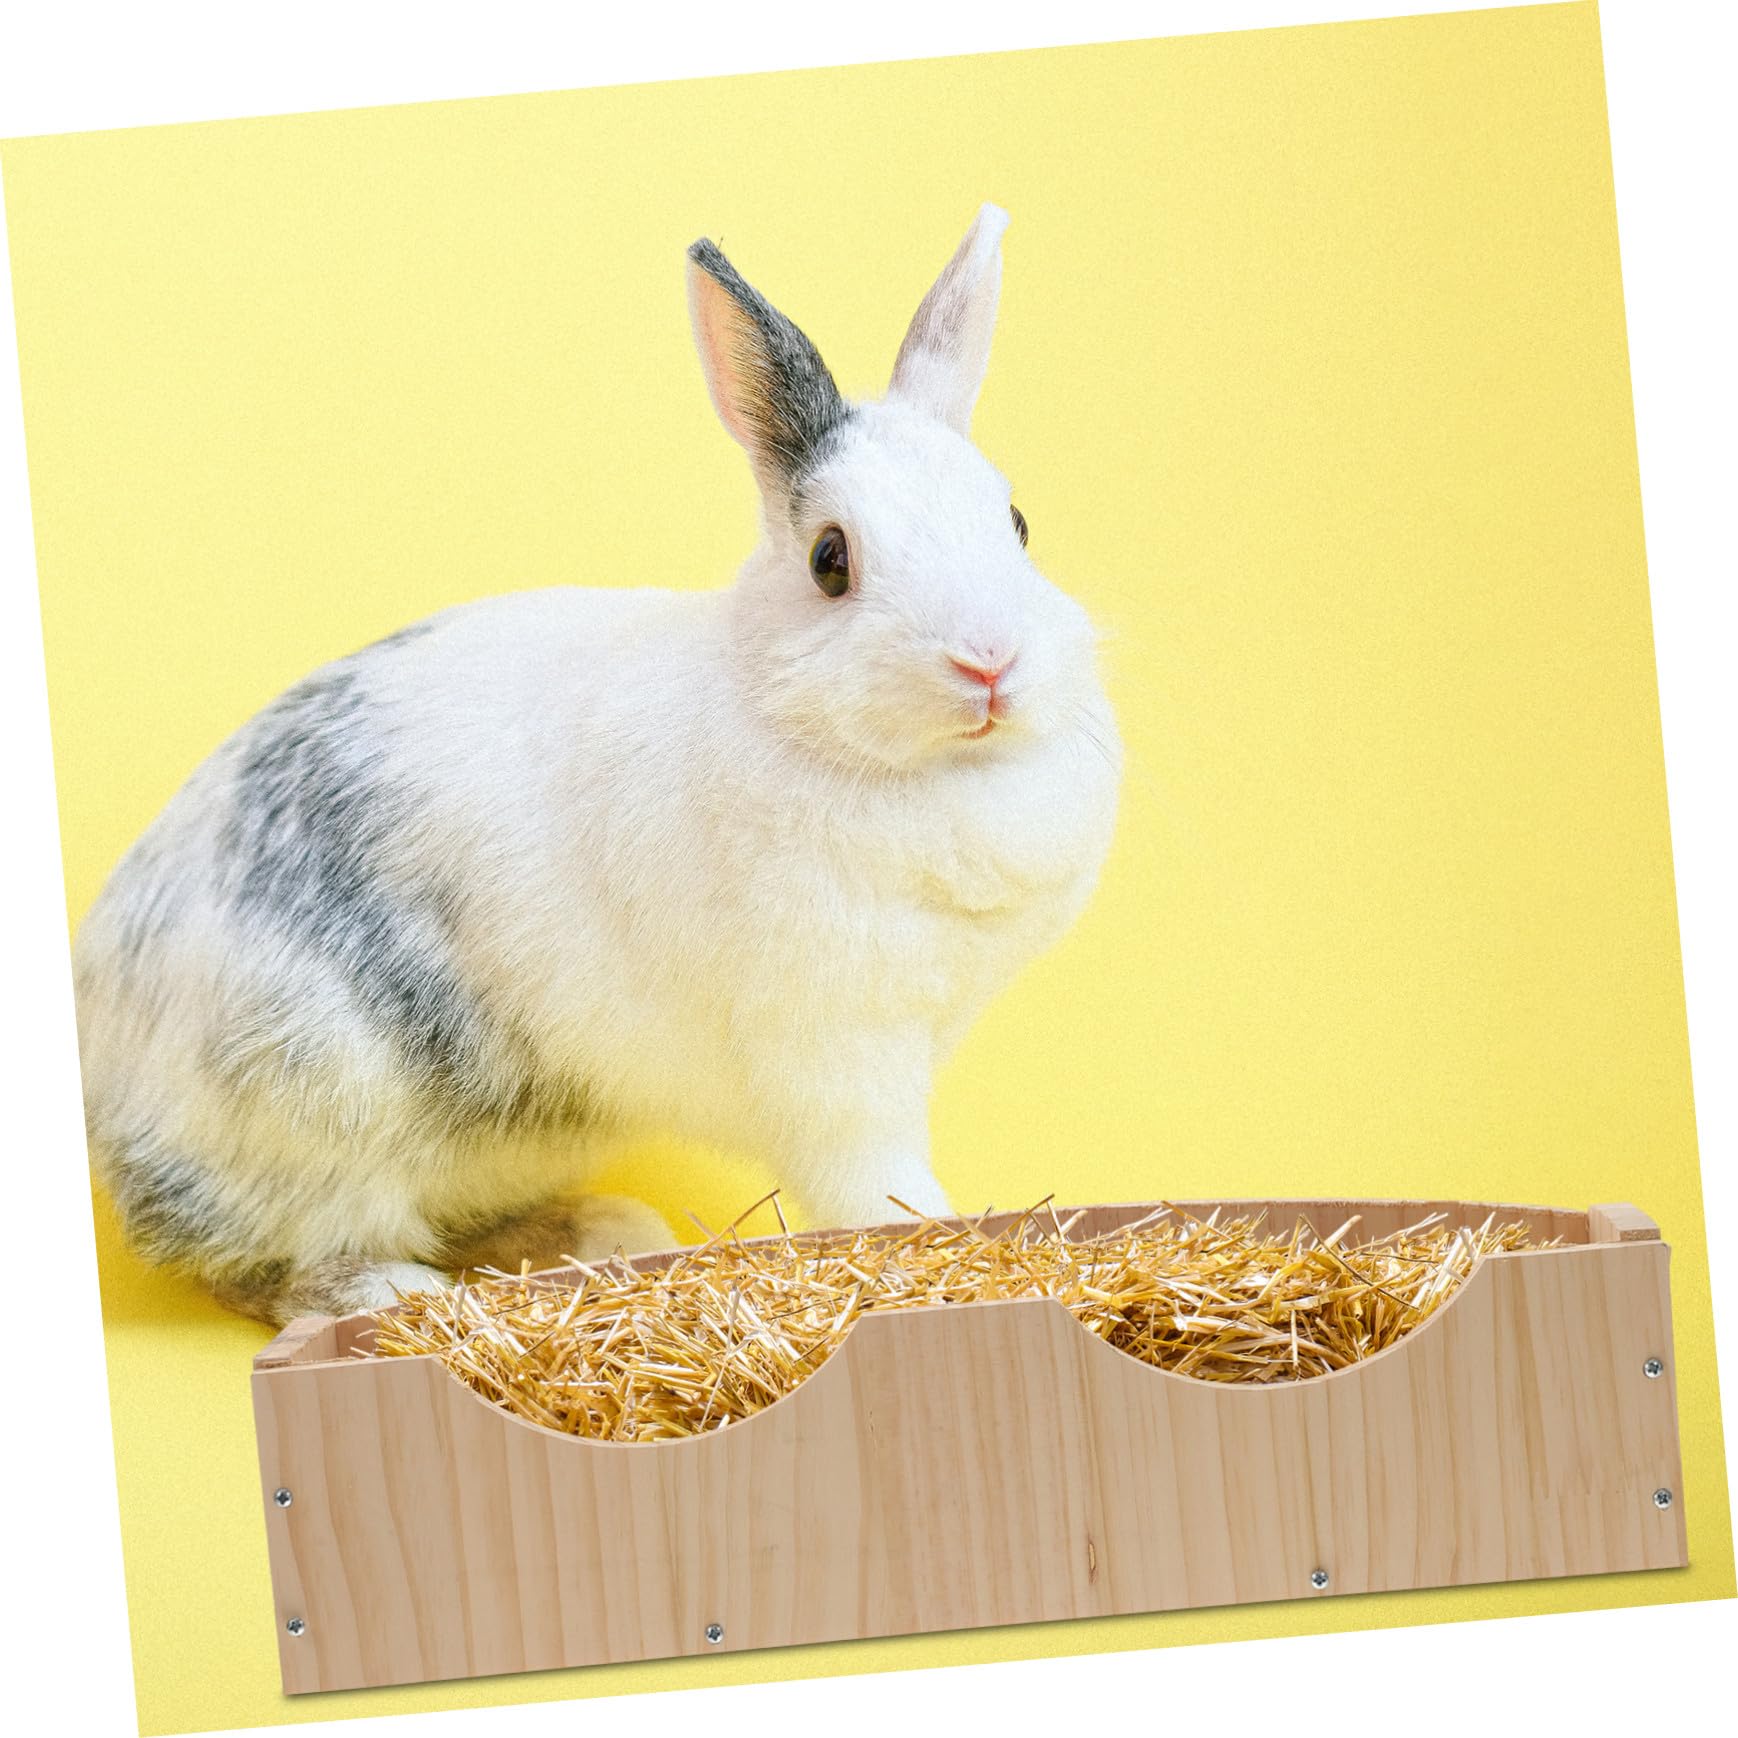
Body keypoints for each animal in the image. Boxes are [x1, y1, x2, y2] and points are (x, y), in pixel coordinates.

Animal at [72, 203, 1122, 1327]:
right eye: (831, 561)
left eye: (1016, 523)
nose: (990, 661)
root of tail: (95, 1034)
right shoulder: (834, 1054)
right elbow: (871, 1179)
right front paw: (933, 1241)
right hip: (310, 1098)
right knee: (254, 1259)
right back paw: (393, 1292)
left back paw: (598, 1234)